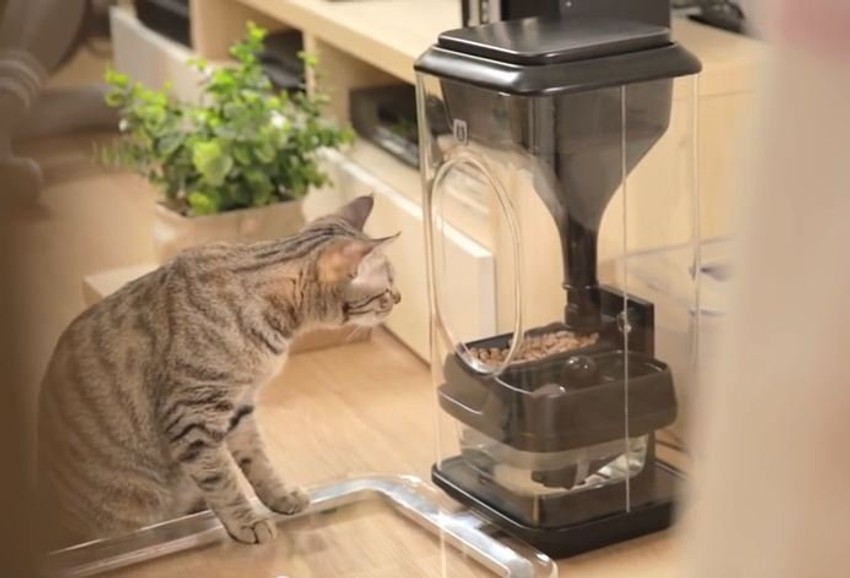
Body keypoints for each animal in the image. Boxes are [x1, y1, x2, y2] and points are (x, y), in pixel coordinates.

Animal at [36, 195, 401, 549]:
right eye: (387, 288)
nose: (398, 297)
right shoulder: (192, 417)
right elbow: (222, 479)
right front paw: (246, 522)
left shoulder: (240, 407)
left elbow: (258, 462)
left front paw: (279, 496)